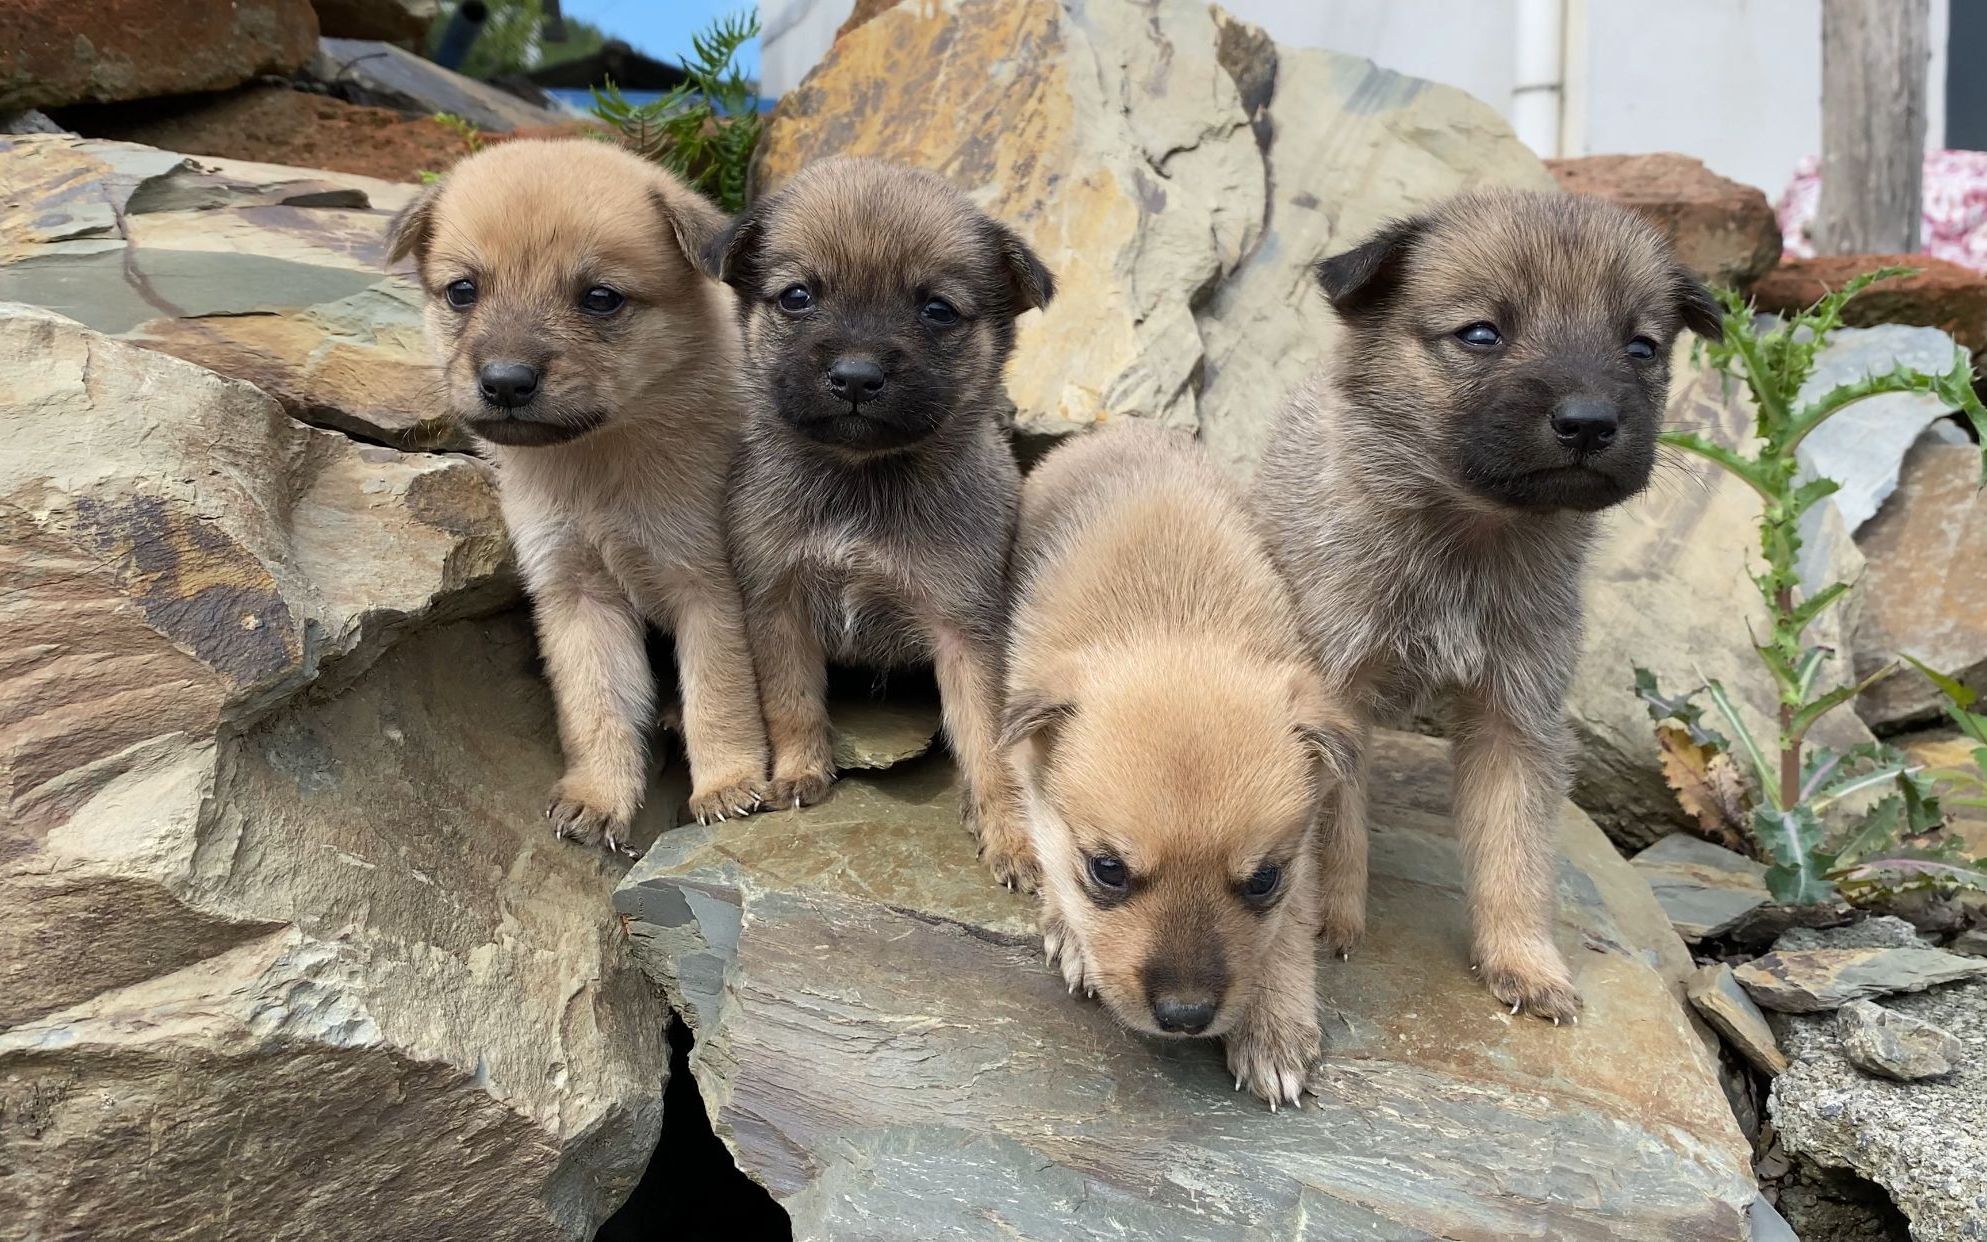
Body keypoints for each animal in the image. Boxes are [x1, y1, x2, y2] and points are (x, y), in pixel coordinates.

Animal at [387, 138, 766, 850]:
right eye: (462, 291)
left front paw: (728, 781)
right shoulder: (576, 593)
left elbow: (721, 694)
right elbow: (596, 705)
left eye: (600, 298)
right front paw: (599, 795)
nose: (506, 382)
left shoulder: (708, 587)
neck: (597, 464)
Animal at [1009, 423, 1351, 1104]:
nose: (1187, 1017)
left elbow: (1291, 925)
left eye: (1263, 880)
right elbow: (1044, 840)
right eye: (1108, 870)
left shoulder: (1301, 856)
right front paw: (1069, 930)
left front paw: (1274, 1024)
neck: (1175, 622)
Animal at [1255, 186, 1724, 1017]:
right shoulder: (1336, 694)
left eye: (1640, 347)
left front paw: (1524, 962)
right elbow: (1336, 829)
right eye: (1480, 333)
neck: (1467, 539)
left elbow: (1515, 850)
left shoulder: (1517, 714)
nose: (1588, 422)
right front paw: (1329, 923)